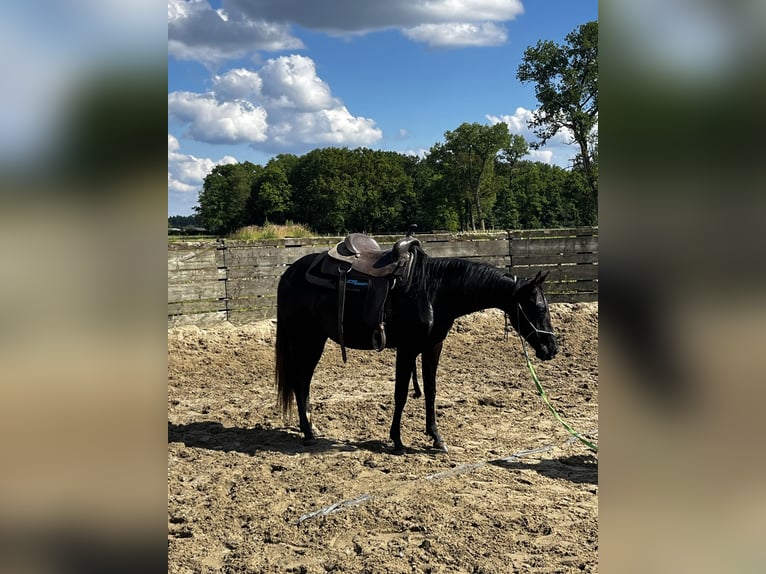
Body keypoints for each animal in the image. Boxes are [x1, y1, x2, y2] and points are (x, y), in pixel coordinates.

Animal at [276, 243, 560, 454]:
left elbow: (431, 391)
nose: (552, 349)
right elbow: (401, 393)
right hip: (307, 338)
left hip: (315, 339)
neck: (434, 290)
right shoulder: (408, 348)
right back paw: (308, 432)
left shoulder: (433, 346)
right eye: (539, 308)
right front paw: (397, 440)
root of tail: (290, 274)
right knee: (300, 380)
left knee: (303, 381)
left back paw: (311, 427)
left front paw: (436, 437)